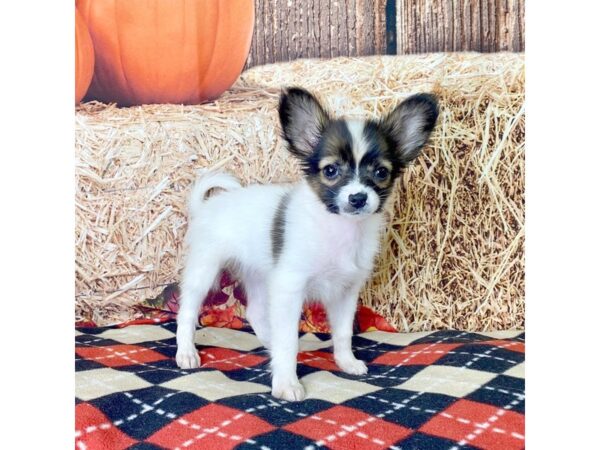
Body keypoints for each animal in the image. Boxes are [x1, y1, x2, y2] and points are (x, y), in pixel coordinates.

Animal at [176, 87, 438, 400]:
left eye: (381, 173)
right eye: (331, 171)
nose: (358, 198)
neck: (339, 229)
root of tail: (207, 205)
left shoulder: (344, 291)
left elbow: (342, 333)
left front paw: (346, 362)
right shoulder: (290, 287)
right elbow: (289, 339)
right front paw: (286, 383)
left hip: (261, 275)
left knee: (255, 312)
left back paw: (269, 344)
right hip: (205, 268)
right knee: (187, 309)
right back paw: (186, 352)